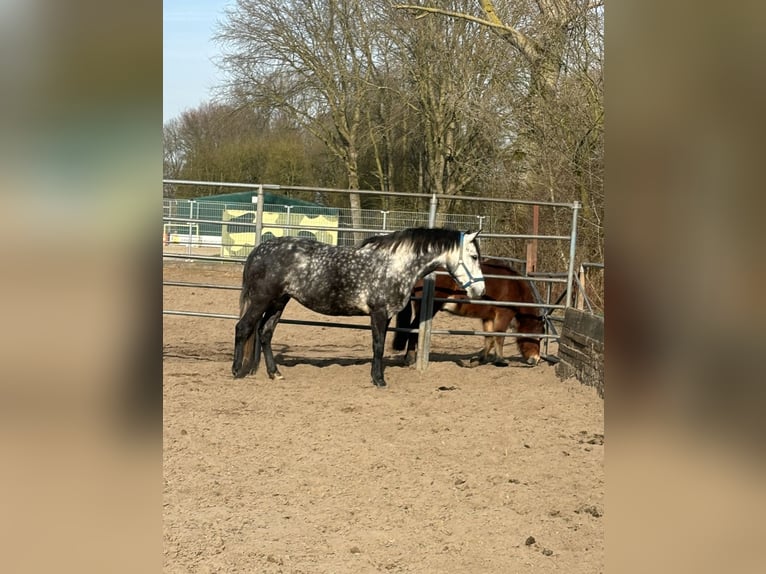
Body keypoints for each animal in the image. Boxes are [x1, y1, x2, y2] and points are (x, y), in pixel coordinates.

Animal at [396, 258, 544, 366]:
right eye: (538, 337)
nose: (536, 360)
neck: (515, 285)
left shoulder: (488, 317)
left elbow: (489, 338)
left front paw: (479, 359)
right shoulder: (504, 314)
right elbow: (499, 336)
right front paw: (500, 360)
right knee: (414, 328)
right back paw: (410, 358)